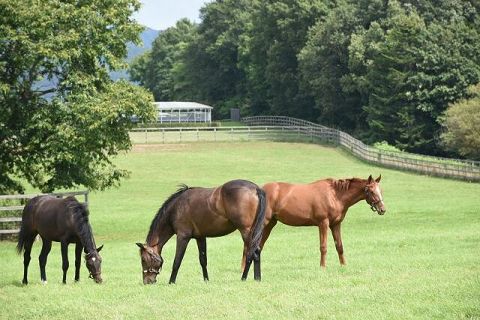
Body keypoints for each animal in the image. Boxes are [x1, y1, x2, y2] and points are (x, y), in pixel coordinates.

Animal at [136, 180, 266, 284]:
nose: (147, 282)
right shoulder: (200, 237)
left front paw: (171, 282)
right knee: (257, 251)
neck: (176, 208)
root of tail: (256, 188)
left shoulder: (183, 237)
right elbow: (203, 260)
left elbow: (177, 261)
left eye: (143, 259)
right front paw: (206, 280)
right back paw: (257, 279)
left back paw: (244, 278)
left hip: (246, 231)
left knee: (252, 253)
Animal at [240, 175, 386, 268]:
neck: (335, 195)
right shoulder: (323, 223)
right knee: (249, 244)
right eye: (370, 190)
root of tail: (258, 190)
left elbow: (339, 246)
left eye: (380, 190)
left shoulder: (335, 224)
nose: (382, 209)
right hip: (263, 223)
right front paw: (322, 267)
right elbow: (323, 247)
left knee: (258, 245)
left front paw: (343, 265)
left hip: (270, 224)